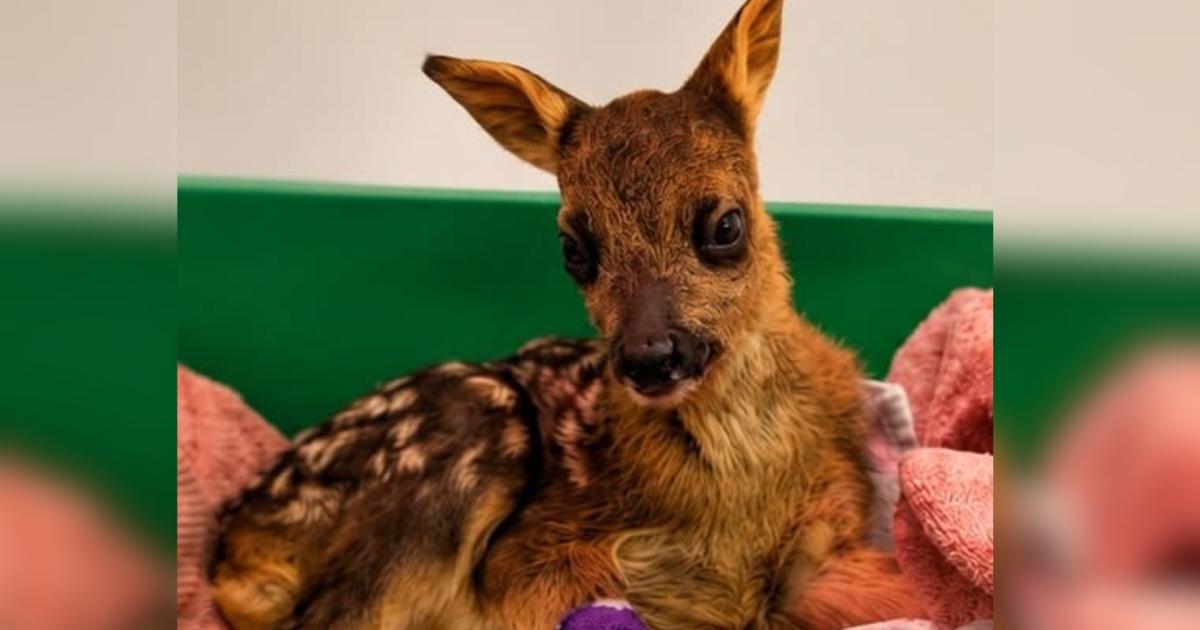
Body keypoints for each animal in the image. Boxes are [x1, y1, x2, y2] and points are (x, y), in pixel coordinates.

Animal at [209, 1, 926, 628]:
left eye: (725, 224)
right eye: (572, 248)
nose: (648, 355)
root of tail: (231, 537)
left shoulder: (830, 537)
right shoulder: (535, 571)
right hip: (460, 441)